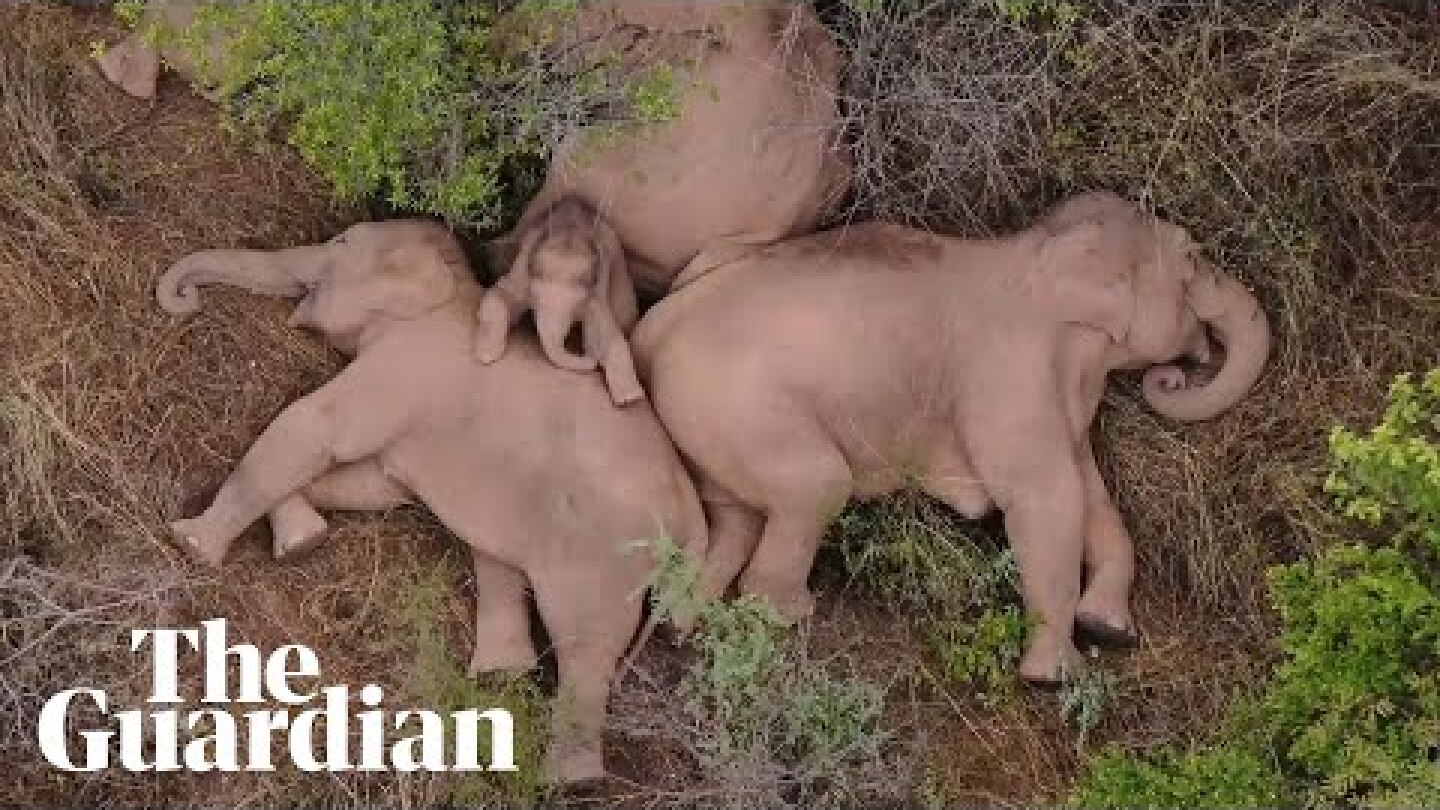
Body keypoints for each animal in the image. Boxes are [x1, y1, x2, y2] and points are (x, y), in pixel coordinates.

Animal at [156, 219, 708, 783]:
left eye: (340, 244)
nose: (184, 300)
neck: (453, 287)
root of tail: (695, 521)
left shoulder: (402, 366)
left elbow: (315, 428)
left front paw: (192, 544)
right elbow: (374, 484)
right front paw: (302, 541)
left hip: (607, 551)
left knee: (584, 641)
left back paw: (568, 780)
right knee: (501, 564)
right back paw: (501, 677)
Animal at [474, 196, 644, 407]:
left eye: (578, 306)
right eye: (535, 300)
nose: (589, 359)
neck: (569, 229)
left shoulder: (599, 289)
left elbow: (606, 330)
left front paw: (630, 399)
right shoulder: (521, 269)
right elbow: (499, 294)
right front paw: (486, 356)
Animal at [632, 191, 1271, 685]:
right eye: (1193, 258)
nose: (1172, 376)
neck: (1036, 250)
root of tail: (655, 325)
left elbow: (1090, 494)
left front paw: (1108, 629)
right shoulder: (1006, 376)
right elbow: (1044, 496)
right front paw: (1054, 678)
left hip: (708, 426)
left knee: (735, 518)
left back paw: (685, 626)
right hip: (739, 408)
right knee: (815, 489)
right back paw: (789, 616)